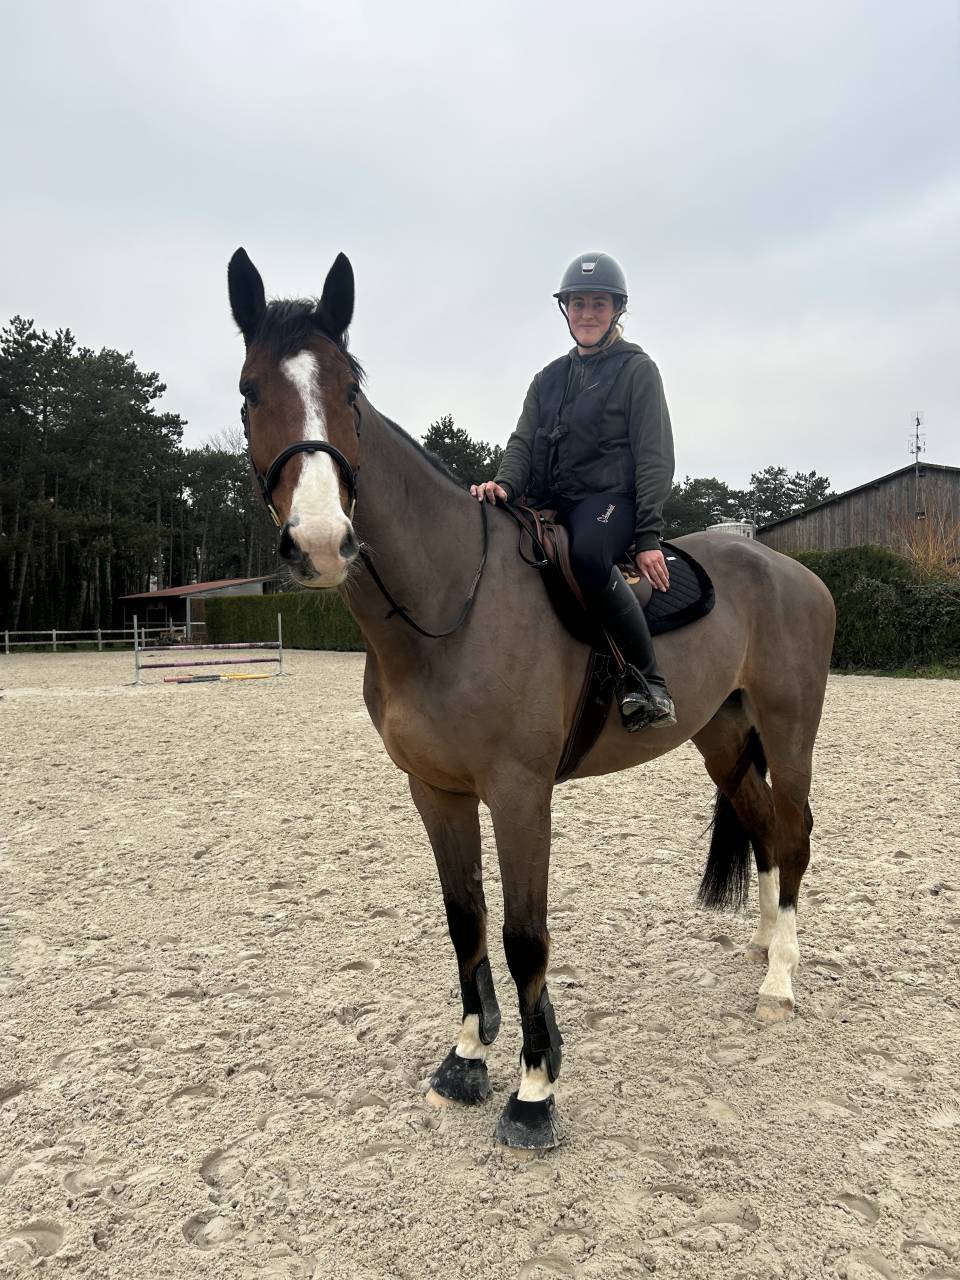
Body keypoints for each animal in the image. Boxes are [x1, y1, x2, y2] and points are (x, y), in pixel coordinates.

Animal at [227, 248, 836, 1150]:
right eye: (249, 391)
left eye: (349, 393)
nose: (322, 543)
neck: (451, 602)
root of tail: (789, 569)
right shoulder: (436, 791)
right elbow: (465, 918)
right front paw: (467, 1058)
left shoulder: (519, 794)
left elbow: (523, 936)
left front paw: (534, 1089)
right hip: (723, 737)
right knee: (761, 829)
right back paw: (766, 949)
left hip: (791, 734)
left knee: (792, 834)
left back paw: (782, 984)